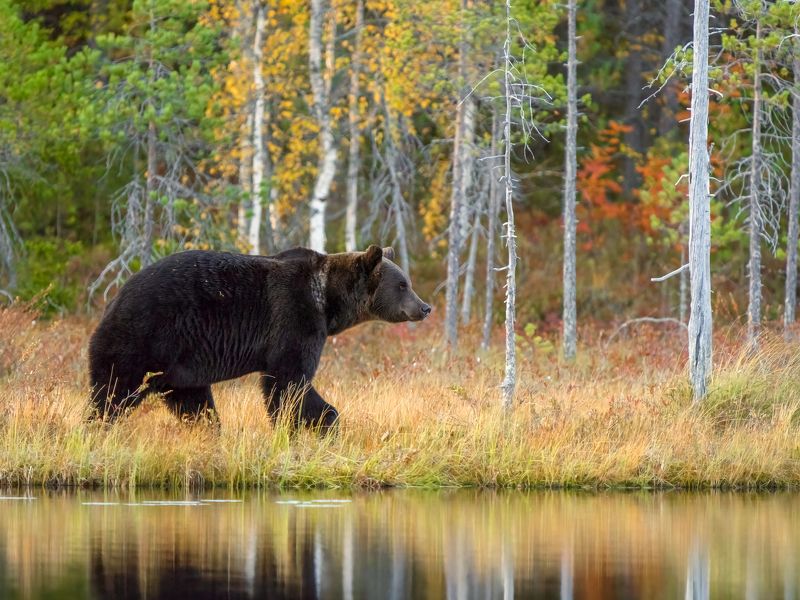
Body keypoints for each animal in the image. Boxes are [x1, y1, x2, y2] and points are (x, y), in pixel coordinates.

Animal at [88, 245, 431, 429]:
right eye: (402, 284)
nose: (425, 307)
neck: (326, 300)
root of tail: (114, 298)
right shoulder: (295, 316)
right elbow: (289, 379)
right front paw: (318, 420)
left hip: (179, 365)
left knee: (194, 404)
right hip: (143, 335)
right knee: (113, 389)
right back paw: (97, 424)